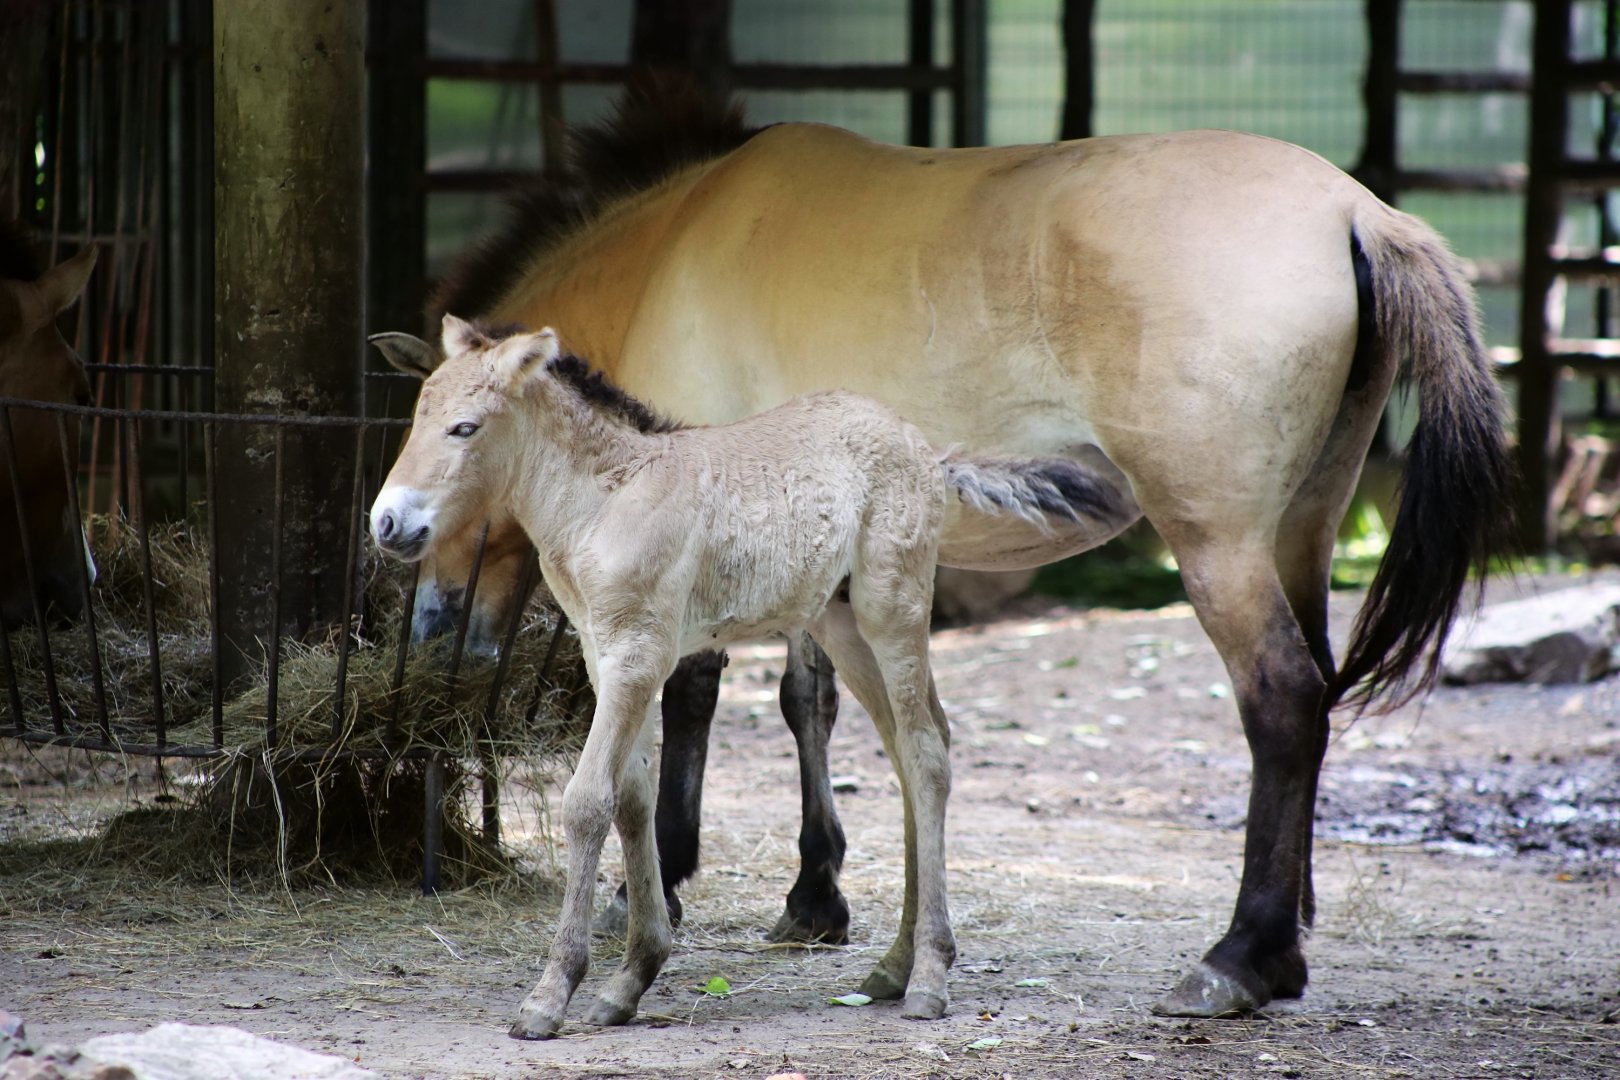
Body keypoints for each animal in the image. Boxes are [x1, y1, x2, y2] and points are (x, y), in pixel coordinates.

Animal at [372, 315, 1127, 1036]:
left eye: (465, 428)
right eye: (415, 416)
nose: (387, 523)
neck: (609, 500)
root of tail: (927, 449)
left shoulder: (639, 653)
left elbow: (587, 802)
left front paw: (551, 995)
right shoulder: (608, 655)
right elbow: (633, 799)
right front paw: (630, 980)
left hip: (894, 610)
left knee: (927, 755)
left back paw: (930, 978)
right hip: (841, 624)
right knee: (912, 750)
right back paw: (892, 967)